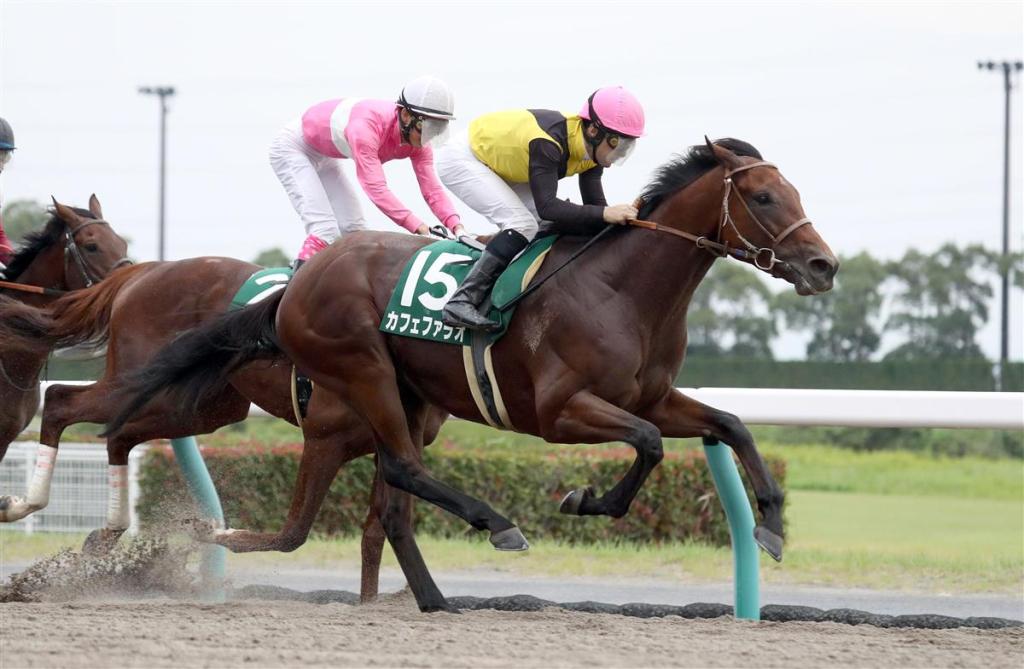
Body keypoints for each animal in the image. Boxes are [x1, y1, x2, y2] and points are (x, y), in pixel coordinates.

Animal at [0, 255, 447, 602]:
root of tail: (143, 271)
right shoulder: (326, 436)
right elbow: (298, 531)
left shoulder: (390, 447)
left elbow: (375, 534)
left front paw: (372, 602)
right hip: (146, 381)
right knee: (61, 401)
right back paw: (23, 504)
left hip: (202, 406)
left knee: (119, 434)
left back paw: (107, 532)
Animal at [107, 139, 839, 612]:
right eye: (764, 197)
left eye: (795, 192)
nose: (824, 265)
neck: (622, 289)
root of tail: (296, 284)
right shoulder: (558, 411)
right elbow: (650, 444)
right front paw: (584, 500)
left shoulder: (652, 395)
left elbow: (731, 424)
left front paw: (772, 525)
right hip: (363, 367)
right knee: (402, 467)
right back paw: (496, 524)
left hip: (403, 393)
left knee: (394, 489)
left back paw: (437, 597)